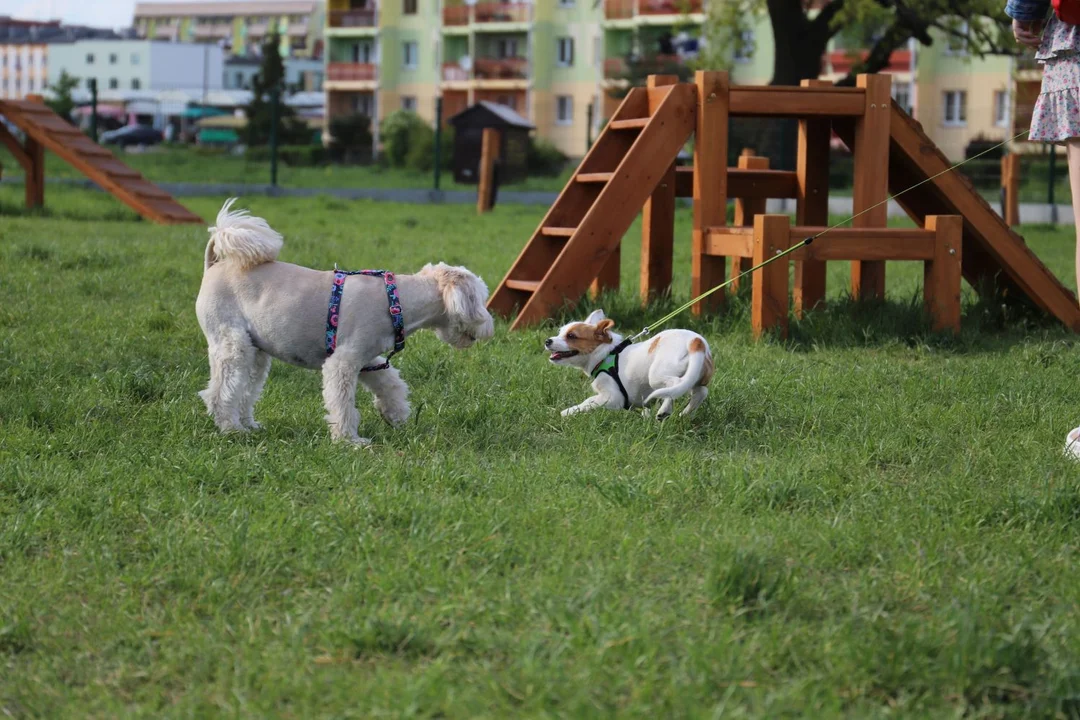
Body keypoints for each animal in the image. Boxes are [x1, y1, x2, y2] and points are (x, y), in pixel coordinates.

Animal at [195, 198, 494, 444]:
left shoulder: (367, 359)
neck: (395, 301)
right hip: (232, 345)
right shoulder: (343, 362)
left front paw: (397, 416)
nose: (491, 326)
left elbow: (389, 383)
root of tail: (213, 265)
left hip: (256, 352)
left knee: (246, 390)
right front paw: (350, 441)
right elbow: (343, 404)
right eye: (481, 298)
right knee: (220, 392)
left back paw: (249, 425)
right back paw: (231, 429)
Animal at [544, 308, 712, 418]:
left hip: (657, 375)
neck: (606, 354)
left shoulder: (613, 397)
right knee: (700, 391)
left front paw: (568, 412)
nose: (547, 341)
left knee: (674, 385)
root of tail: (696, 342)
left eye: (571, 336)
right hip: (694, 376)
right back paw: (685, 413)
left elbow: (588, 402)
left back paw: (664, 411)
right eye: (560, 332)